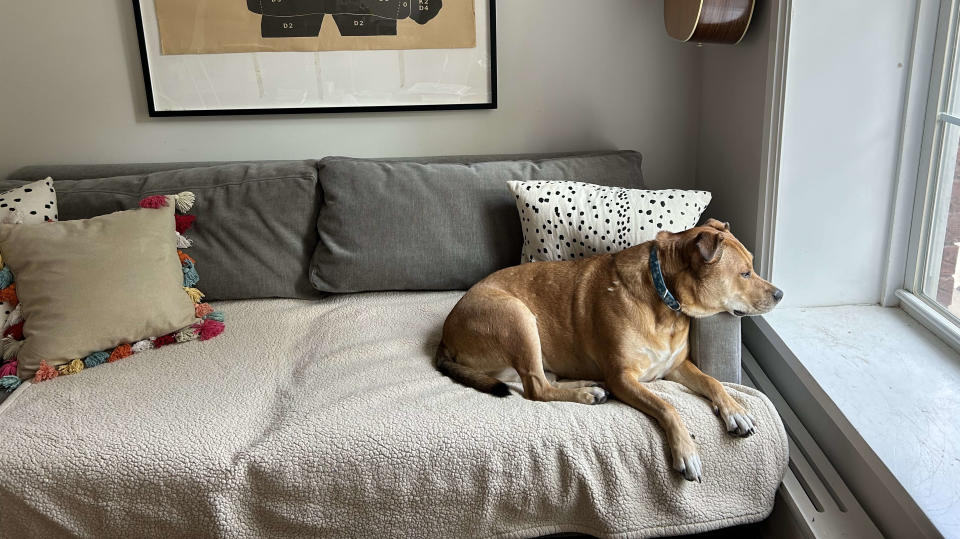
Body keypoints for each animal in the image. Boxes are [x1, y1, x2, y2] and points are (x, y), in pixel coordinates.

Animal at [438, 218, 784, 480]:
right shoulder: (623, 378)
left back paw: (585, 385)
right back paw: (587, 393)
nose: (780, 294)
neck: (664, 294)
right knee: (537, 387)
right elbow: (667, 407)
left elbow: (712, 381)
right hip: (518, 317)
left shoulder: (675, 366)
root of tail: (445, 333)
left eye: (752, 267)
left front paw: (735, 411)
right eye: (745, 273)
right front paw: (686, 450)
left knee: (541, 380)